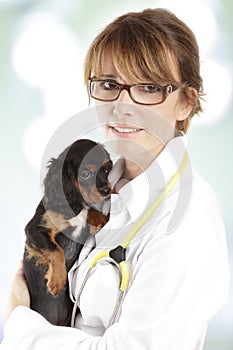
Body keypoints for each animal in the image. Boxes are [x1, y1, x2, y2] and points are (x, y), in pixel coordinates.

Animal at [23, 138, 112, 326]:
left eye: (107, 168)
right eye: (85, 174)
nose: (106, 190)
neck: (75, 204)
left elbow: (90, 209)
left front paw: (99, 218)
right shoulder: (35, 230)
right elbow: (56, 250)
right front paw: (57, 281)